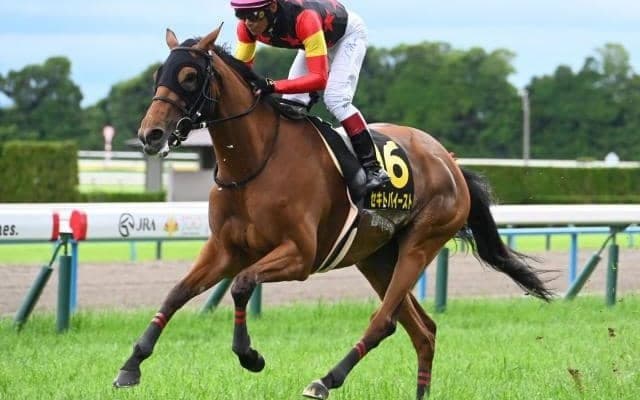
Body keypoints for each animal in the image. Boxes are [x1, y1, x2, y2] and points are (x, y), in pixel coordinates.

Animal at [113, 25, 553, 399]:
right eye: (160, 74)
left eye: (189, 76)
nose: (150, 134)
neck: (255, 161)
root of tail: (450, 162)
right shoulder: (225, 248)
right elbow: (177, 292)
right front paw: (131, 365)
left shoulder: (300, 255)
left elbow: (241, 284)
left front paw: (250, 355)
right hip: (375, 257)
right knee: (422, 329)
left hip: (420, 244)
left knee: (385, 321)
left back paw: (325, 380)